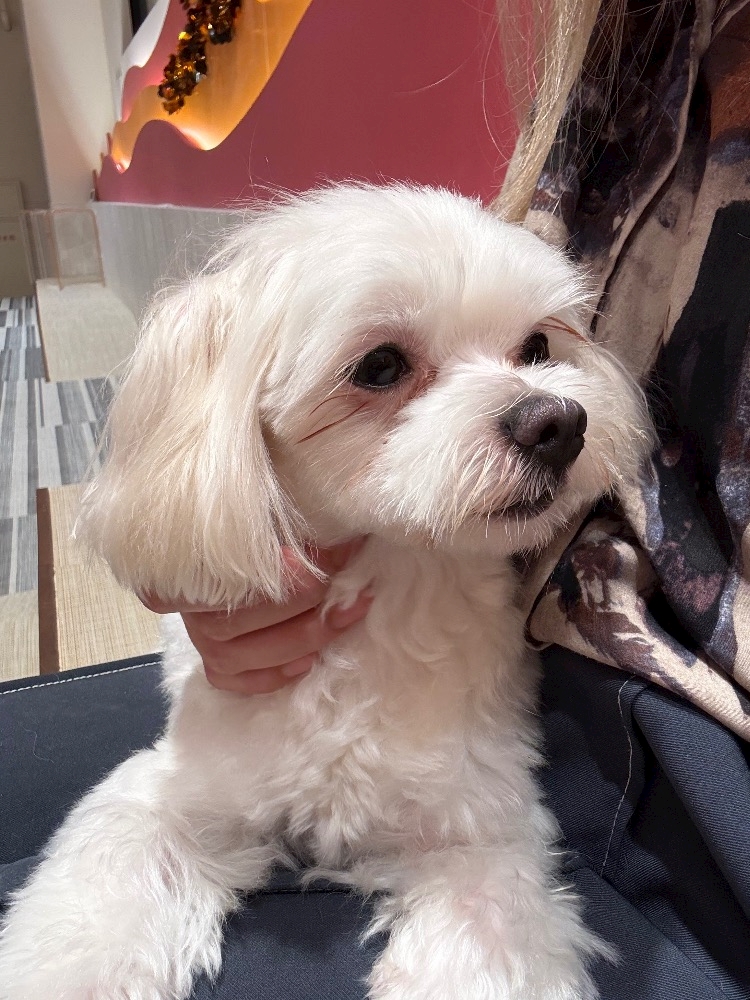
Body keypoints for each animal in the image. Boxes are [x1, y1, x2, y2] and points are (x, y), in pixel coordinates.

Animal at [0, 184, 652, 999]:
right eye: (379, 365)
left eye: (537, 347)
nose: (557, 421)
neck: (389, 583)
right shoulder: (182, 793)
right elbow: (106, 883)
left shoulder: (477, 833)